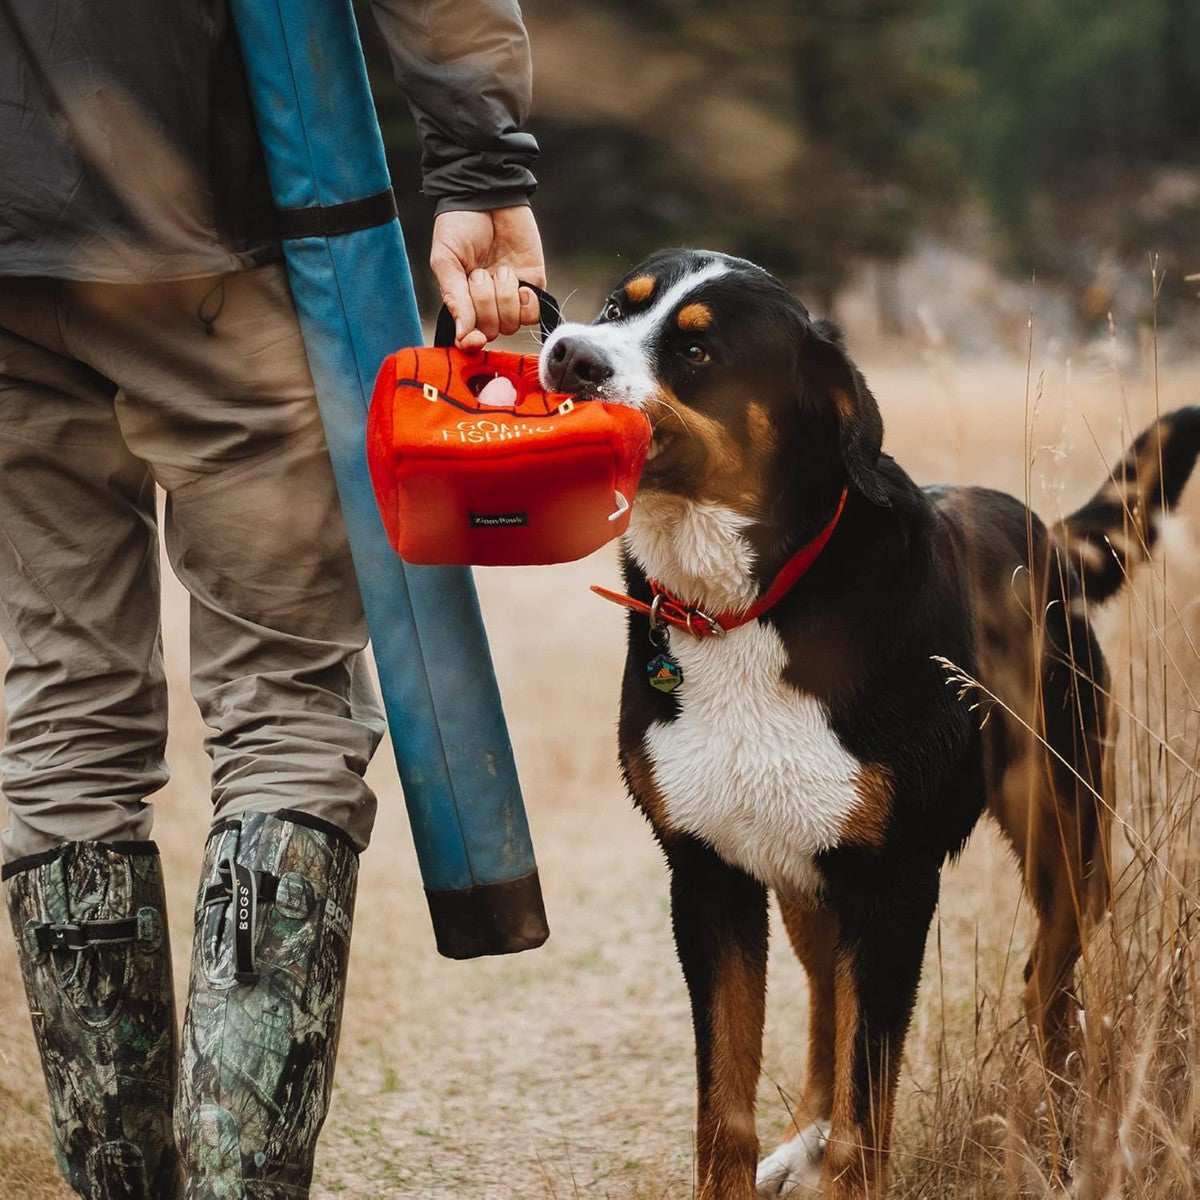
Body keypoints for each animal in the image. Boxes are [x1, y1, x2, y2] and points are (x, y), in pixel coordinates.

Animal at [540, 248, 1200, 1195]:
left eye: (698, 352)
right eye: (610, 309)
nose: (565, 351)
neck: (743, 610)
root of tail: (1042, 530)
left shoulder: (895, 889)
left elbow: (869, 1106)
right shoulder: (708, 876)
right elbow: (726, 1108)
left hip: (1063, 826)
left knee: (1048, 978)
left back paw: (1068, 1132)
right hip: (808, 872)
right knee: (828, 1007)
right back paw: (802, 1139)